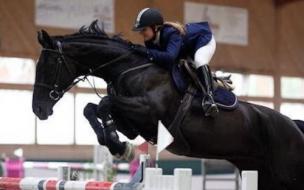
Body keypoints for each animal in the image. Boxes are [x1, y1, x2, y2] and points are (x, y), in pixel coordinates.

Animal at [32, 21, 304, 189]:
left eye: (48, 65)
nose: (39, 110)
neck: (129, 69)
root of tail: (294, 126)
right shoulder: (134, 124)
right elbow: (92, 107)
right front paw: (117, 144)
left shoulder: (148, 112)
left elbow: (104, 103)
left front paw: (118, 145)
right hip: (262, 172)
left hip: (287, 174)